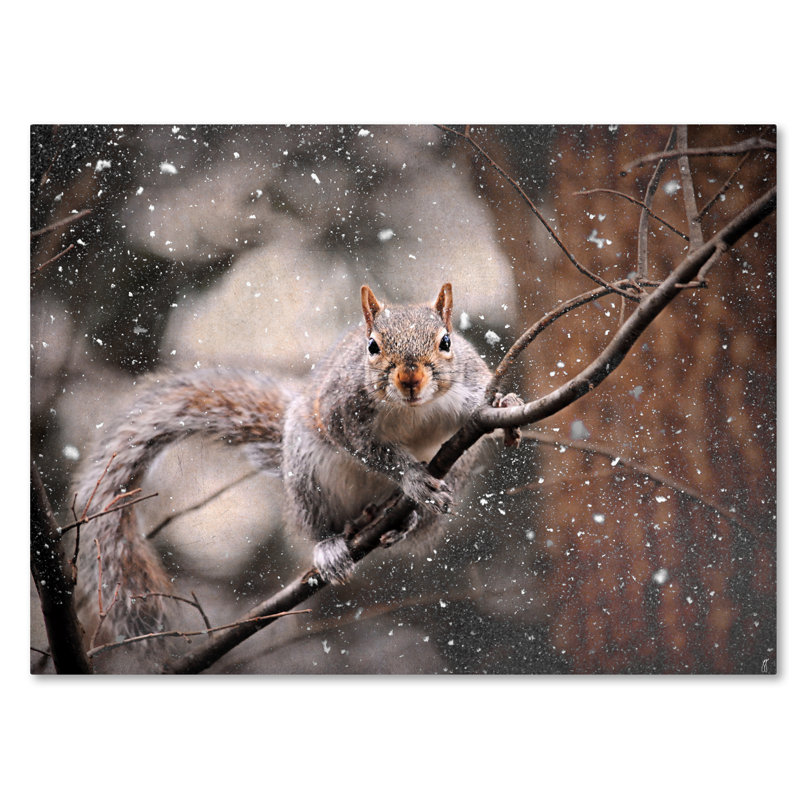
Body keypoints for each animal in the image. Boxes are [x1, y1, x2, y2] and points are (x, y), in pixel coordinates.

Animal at [73, 283, 519, 645]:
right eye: (372, 347)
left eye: (446, 342)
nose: (410, 380)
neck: (412, 409)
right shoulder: (341, 410)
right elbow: (369, 450)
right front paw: (412, 477)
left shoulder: (469, 388)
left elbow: (483, 406)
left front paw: (505, 403)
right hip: (307, 473)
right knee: (319, 523)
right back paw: (333, 544)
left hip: (454, 470)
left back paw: (402, 519)